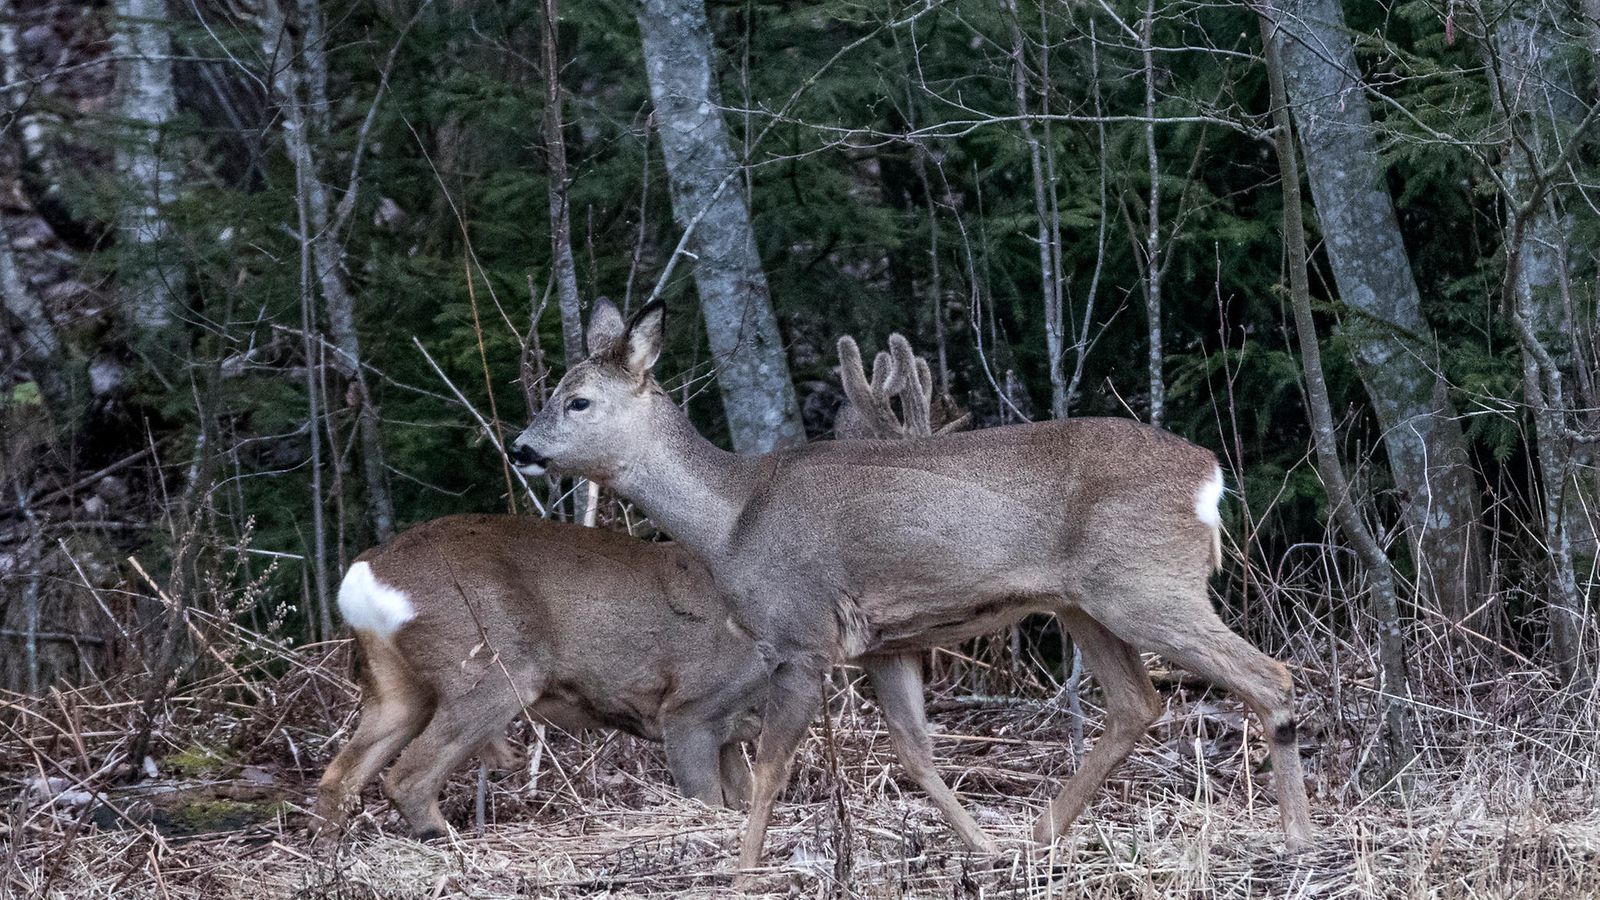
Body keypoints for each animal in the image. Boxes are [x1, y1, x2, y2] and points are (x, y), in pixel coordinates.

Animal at [312, 512, 768, 832]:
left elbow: (748, 798)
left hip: (396, 688)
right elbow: (707, 802)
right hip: (492, 671)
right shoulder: (690, 709)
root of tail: (363, 571)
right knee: (408, 778)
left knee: (339, 776)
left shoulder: (728, 734)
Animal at [512, 299, 1312, 871]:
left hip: (1146, 584)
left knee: (1270, 675)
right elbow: (915, 753)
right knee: (1137, 703)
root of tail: (1208, 476)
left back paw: (1299, 835)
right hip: (1084, 603)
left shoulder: (799, 636)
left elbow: (769, 769)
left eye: (579, 400)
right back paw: (1039, 837)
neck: (731, 519)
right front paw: (981, 847)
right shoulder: (883, 643)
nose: (521, 448)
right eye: (553, 392)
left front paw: (742, 872)